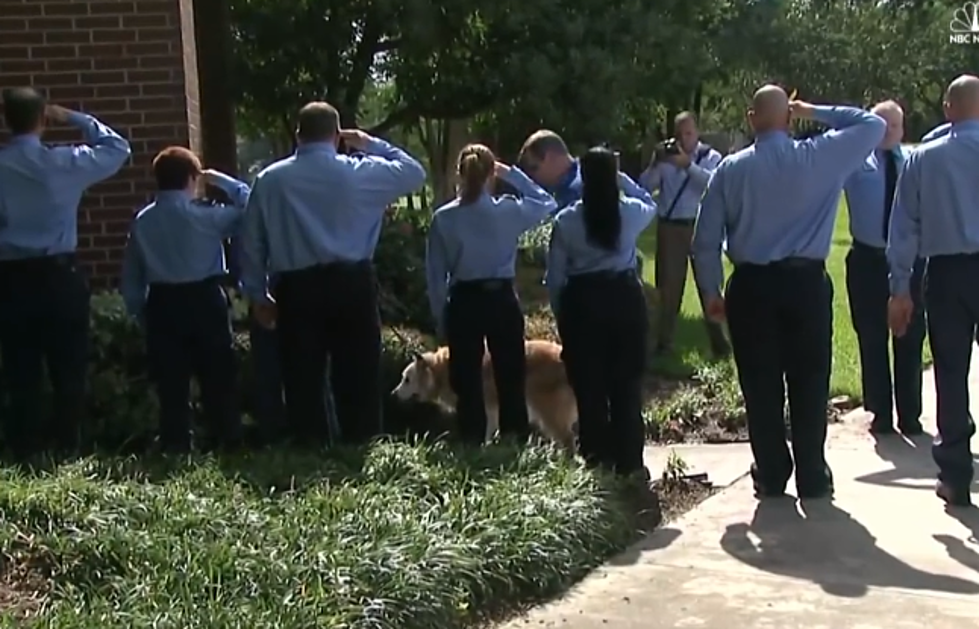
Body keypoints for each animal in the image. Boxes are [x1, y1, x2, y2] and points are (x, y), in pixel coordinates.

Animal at [392, 340, 580, 448]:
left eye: (407, 379)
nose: (392, 395)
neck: (441, 370)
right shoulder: (494, 409)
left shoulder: (487, 407)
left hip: (547, 411)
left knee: (567, 439)